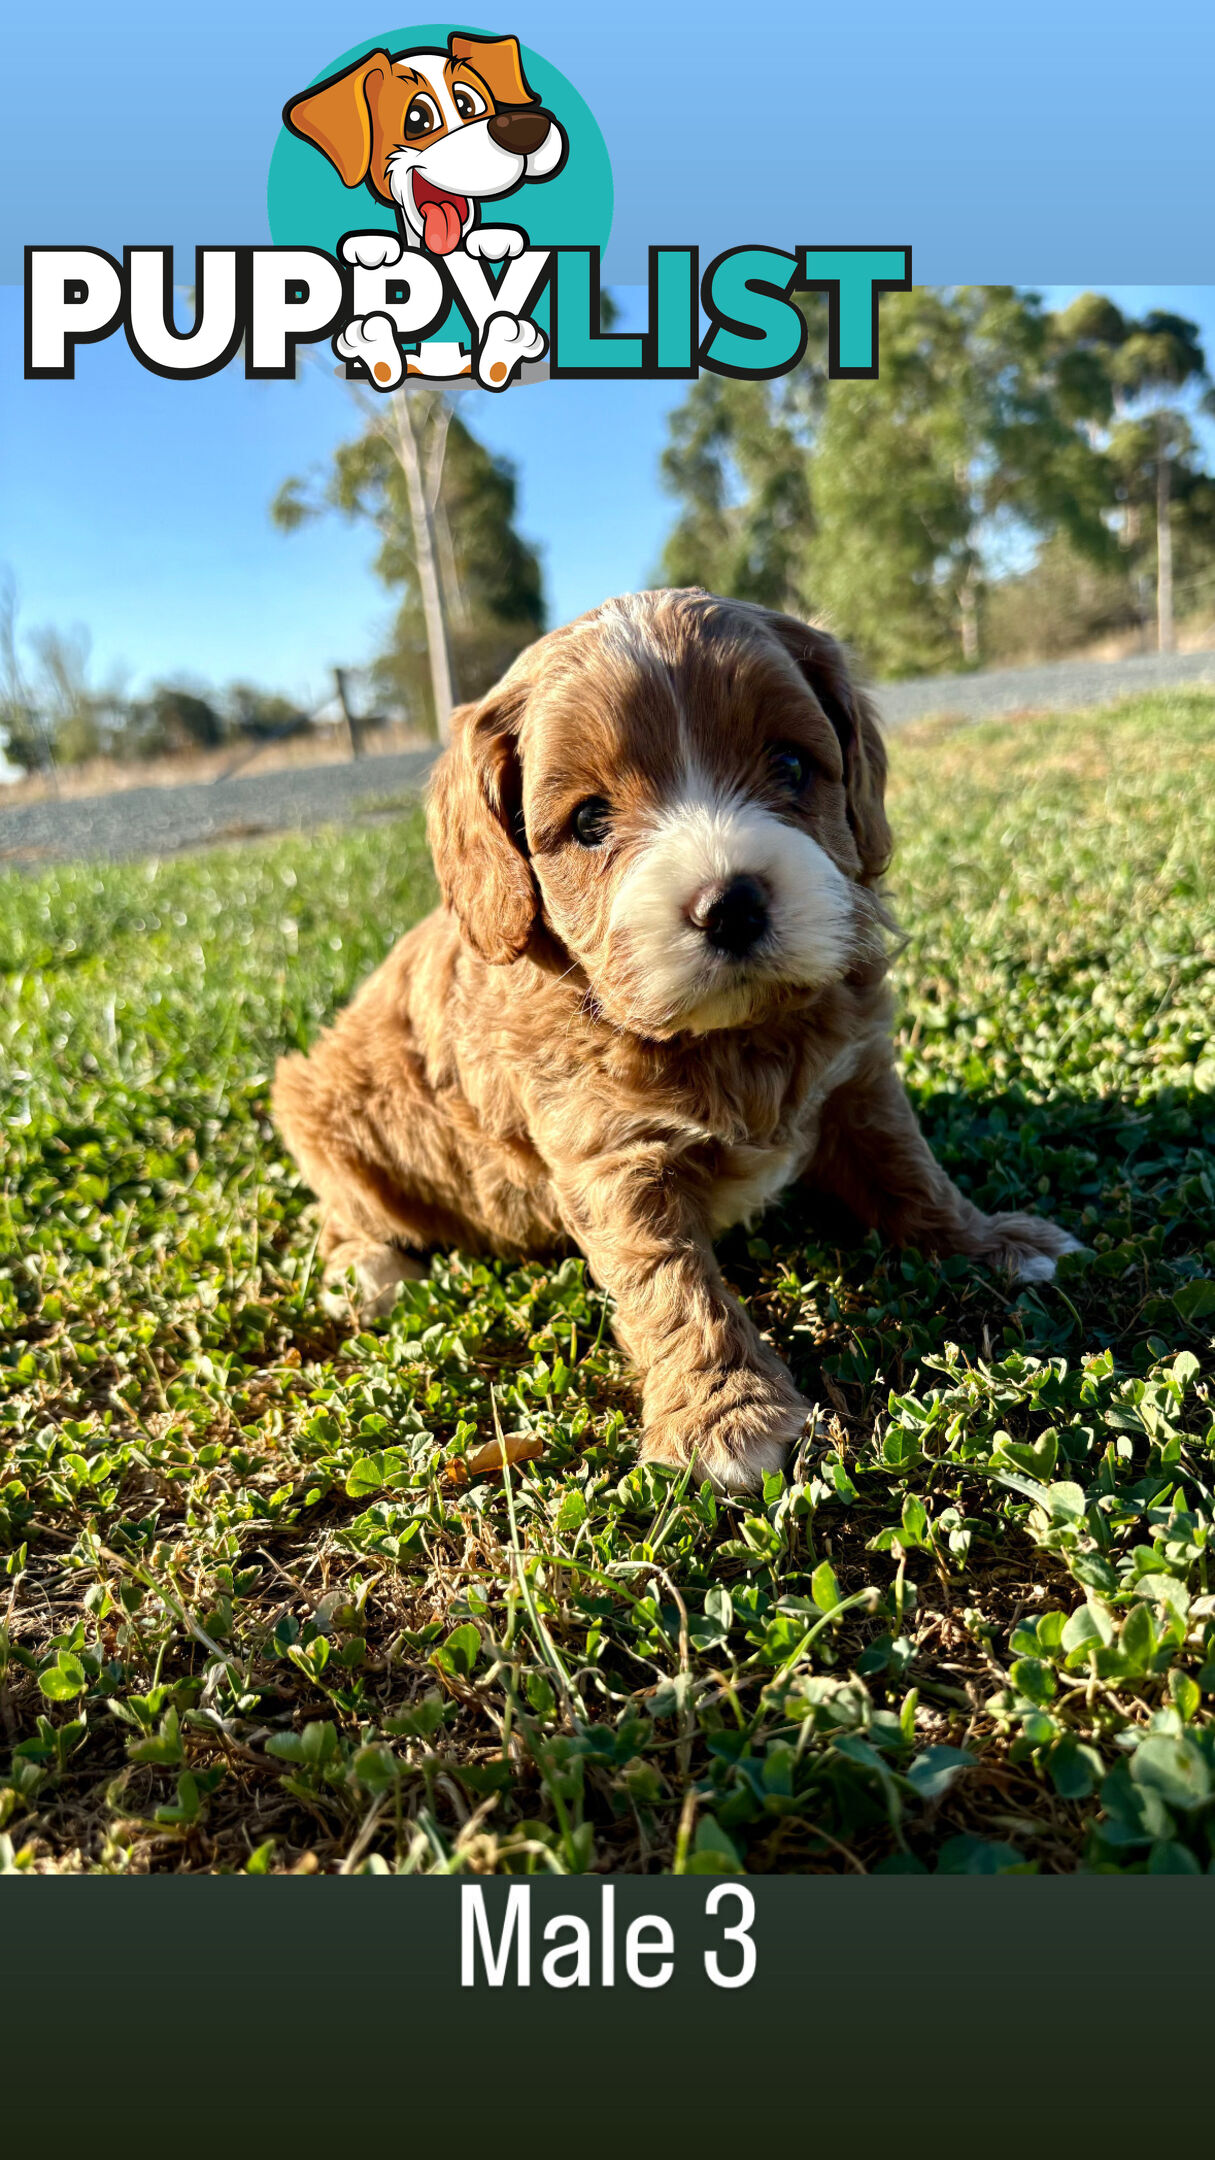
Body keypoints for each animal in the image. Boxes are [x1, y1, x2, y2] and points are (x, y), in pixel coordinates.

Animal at [274, 596, 1076, 1503]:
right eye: (588, 821)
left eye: (792, 766)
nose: (730, 905)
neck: (734, 1036)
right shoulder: (608, 1149)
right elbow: (666, 1277)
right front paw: (723, 1415)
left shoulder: (857, 1074)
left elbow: (908, 1167)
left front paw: (989, 1241)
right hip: (320, 1115)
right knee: (340, 1216)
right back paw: (372, 1274)